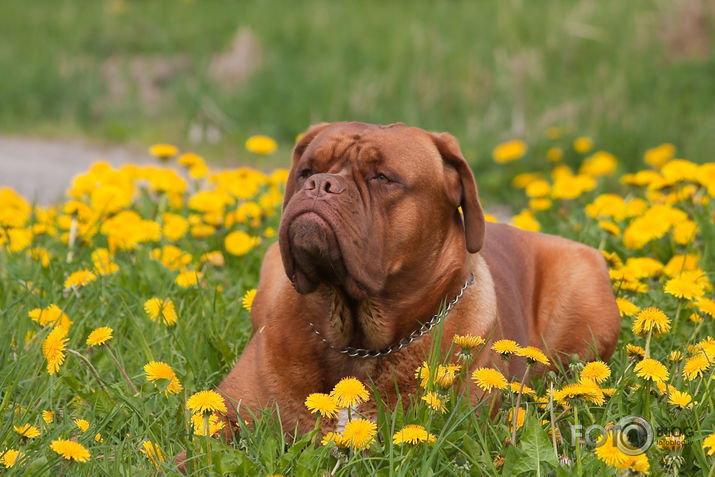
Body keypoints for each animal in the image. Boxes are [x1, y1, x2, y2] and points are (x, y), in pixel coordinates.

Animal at [178, 121, 616, 466]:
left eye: (382, 177)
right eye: (307, 171)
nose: (320, 184)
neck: (355, 340)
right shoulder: (226, 414)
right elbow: (198, 451)